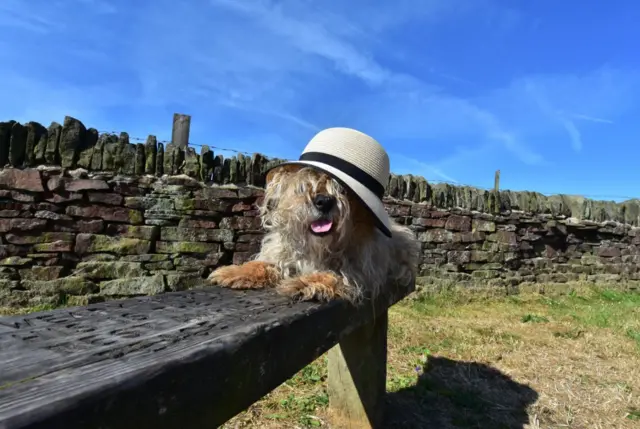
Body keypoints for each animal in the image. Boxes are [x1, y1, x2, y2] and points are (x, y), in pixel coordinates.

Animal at [208, 162, 422, 302]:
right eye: (304, 186)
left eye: (343, 190)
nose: (324, 201)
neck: (318, 246)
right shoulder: (284, 255)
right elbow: (264, 264)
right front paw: (236, 271)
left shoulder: (361, 271)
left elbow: (334, 274)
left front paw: (303, 283)